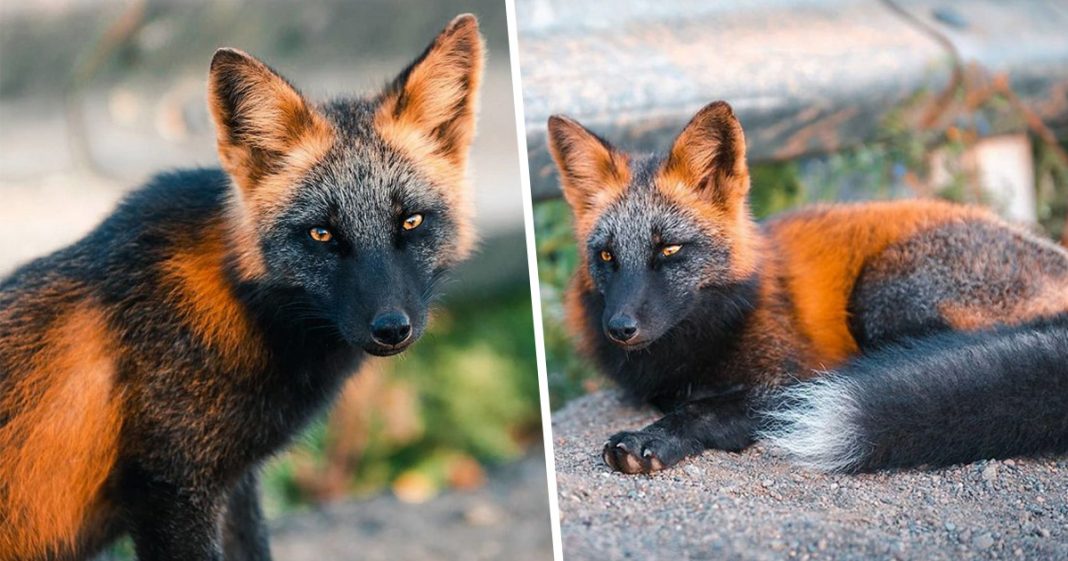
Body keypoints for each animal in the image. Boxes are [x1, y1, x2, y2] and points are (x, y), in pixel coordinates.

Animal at [1, 13, 484, 559]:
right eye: (322, 234)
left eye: (411, 222)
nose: (391, 328)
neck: (238, 304)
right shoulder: (172, 490)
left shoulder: (233, 483)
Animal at [546, 101, 1068, 476]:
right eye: (607, 256)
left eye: (670, 249)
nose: (620, 328)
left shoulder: (788, 379)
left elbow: (704, 411)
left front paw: (651, 438)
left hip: (882, 295)